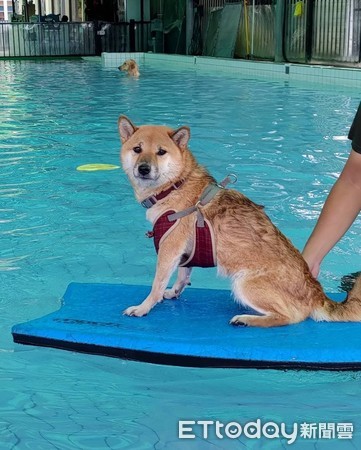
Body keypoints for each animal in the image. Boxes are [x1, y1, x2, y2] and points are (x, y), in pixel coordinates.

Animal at [118, 116, 360, 326]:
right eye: (137, 149)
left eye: (161, 152)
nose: (143, 168)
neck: (176, 184)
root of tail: (315, 291)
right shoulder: (186, 251)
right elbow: (182, 275)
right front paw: (175, 291)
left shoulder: (170, 247)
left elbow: (157, 284)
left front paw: (143, 307)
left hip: (243, 284)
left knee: (290, 317)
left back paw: (247, 320)